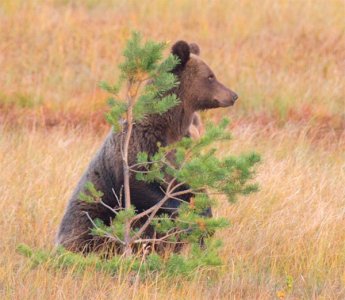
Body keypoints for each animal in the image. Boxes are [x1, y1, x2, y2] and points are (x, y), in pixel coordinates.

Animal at [56, 41, 238, 253]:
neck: (170, 126)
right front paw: (187, 216)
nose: (233, 95)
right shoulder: (141, 147)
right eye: (210, 76)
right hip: (92, 213)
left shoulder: (185, 149)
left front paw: (204, 218)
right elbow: (142, 186)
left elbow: (195, 186)